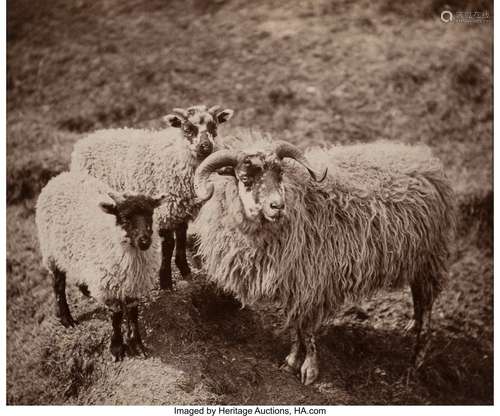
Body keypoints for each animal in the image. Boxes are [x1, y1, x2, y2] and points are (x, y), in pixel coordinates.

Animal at [37, 171, 166, 360]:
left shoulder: (133, 284)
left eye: (150, 214)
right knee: (58, 285)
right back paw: (67, 319)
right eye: (125, 218)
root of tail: (59, 177)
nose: (144, 241)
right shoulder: (107, 284)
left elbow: (133, 314)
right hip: (52, 252)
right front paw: (117, 348)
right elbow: (116, 315)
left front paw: (137, 344)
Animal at [70, 104, 234, 290]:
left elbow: (182, 239)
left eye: (214, 127)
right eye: (187, 129)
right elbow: (168, 245)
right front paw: (165, 281)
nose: (205, 146)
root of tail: (85, 140)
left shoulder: (180, 209)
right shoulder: (164, 211)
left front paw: (185, 270)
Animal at [192, 135, 458, 386]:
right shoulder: (296, 285)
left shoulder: (313, 283)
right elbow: (296, 326)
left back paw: (416, 361)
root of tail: (423, 159)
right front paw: (291, 361)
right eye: (245, 178)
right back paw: (412, 326)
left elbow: (307, 330)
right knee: (419, 300)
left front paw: (309, 370)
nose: (277, 206)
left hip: (429, 258)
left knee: (427, 308)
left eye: (280, 173)